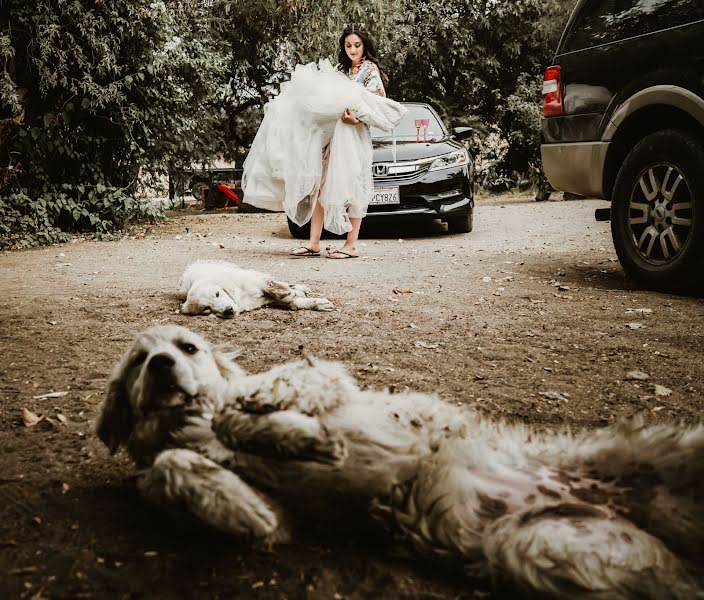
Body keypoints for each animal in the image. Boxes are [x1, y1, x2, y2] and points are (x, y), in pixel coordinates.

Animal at [97, 326, 704, 596]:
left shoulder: (326, 380)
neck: (190, 419)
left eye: (188, 348)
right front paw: (238, 506)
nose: (162, 365)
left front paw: (295, 434)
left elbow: (248, 404)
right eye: (138, 360)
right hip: (535, 550)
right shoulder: (282, 513)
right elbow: (173, 468)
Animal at [175, 262, 332, 318]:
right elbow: (294, 301)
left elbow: (278, 290)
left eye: (217, 294)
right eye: (206, 309)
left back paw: (299, 288)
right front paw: (318, 304)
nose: (228, 310)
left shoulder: (258, 282)